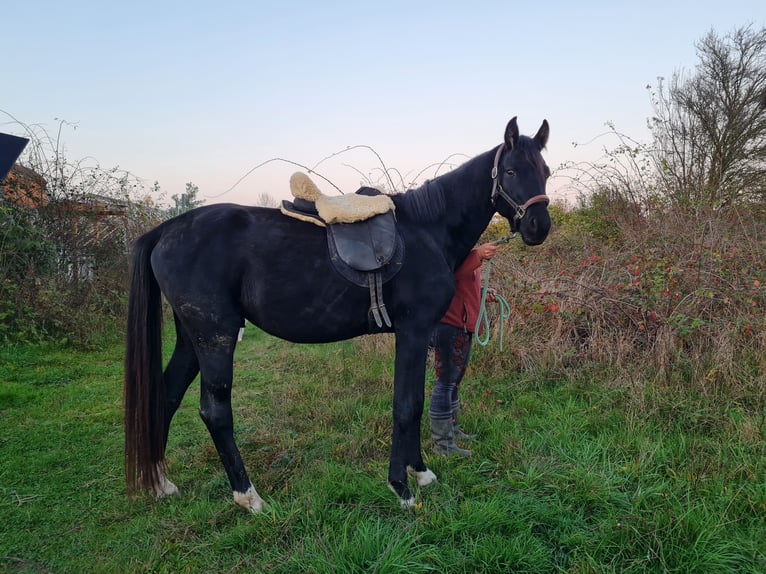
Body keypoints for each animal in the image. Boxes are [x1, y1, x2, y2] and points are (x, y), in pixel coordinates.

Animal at [126, 117, 556, 512]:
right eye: (512, 171)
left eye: (546, 172)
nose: (539, 227)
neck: (426, 229)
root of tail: (167, 229)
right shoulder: (413, 330)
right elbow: (406, 404)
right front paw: (401, 487)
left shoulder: (418, 334)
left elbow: (414, 400)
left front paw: (420, 472)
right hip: (217, 335)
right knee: (214, 411)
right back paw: (248, 496)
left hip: (192, 337)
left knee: (167, 395)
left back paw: (162, 483)